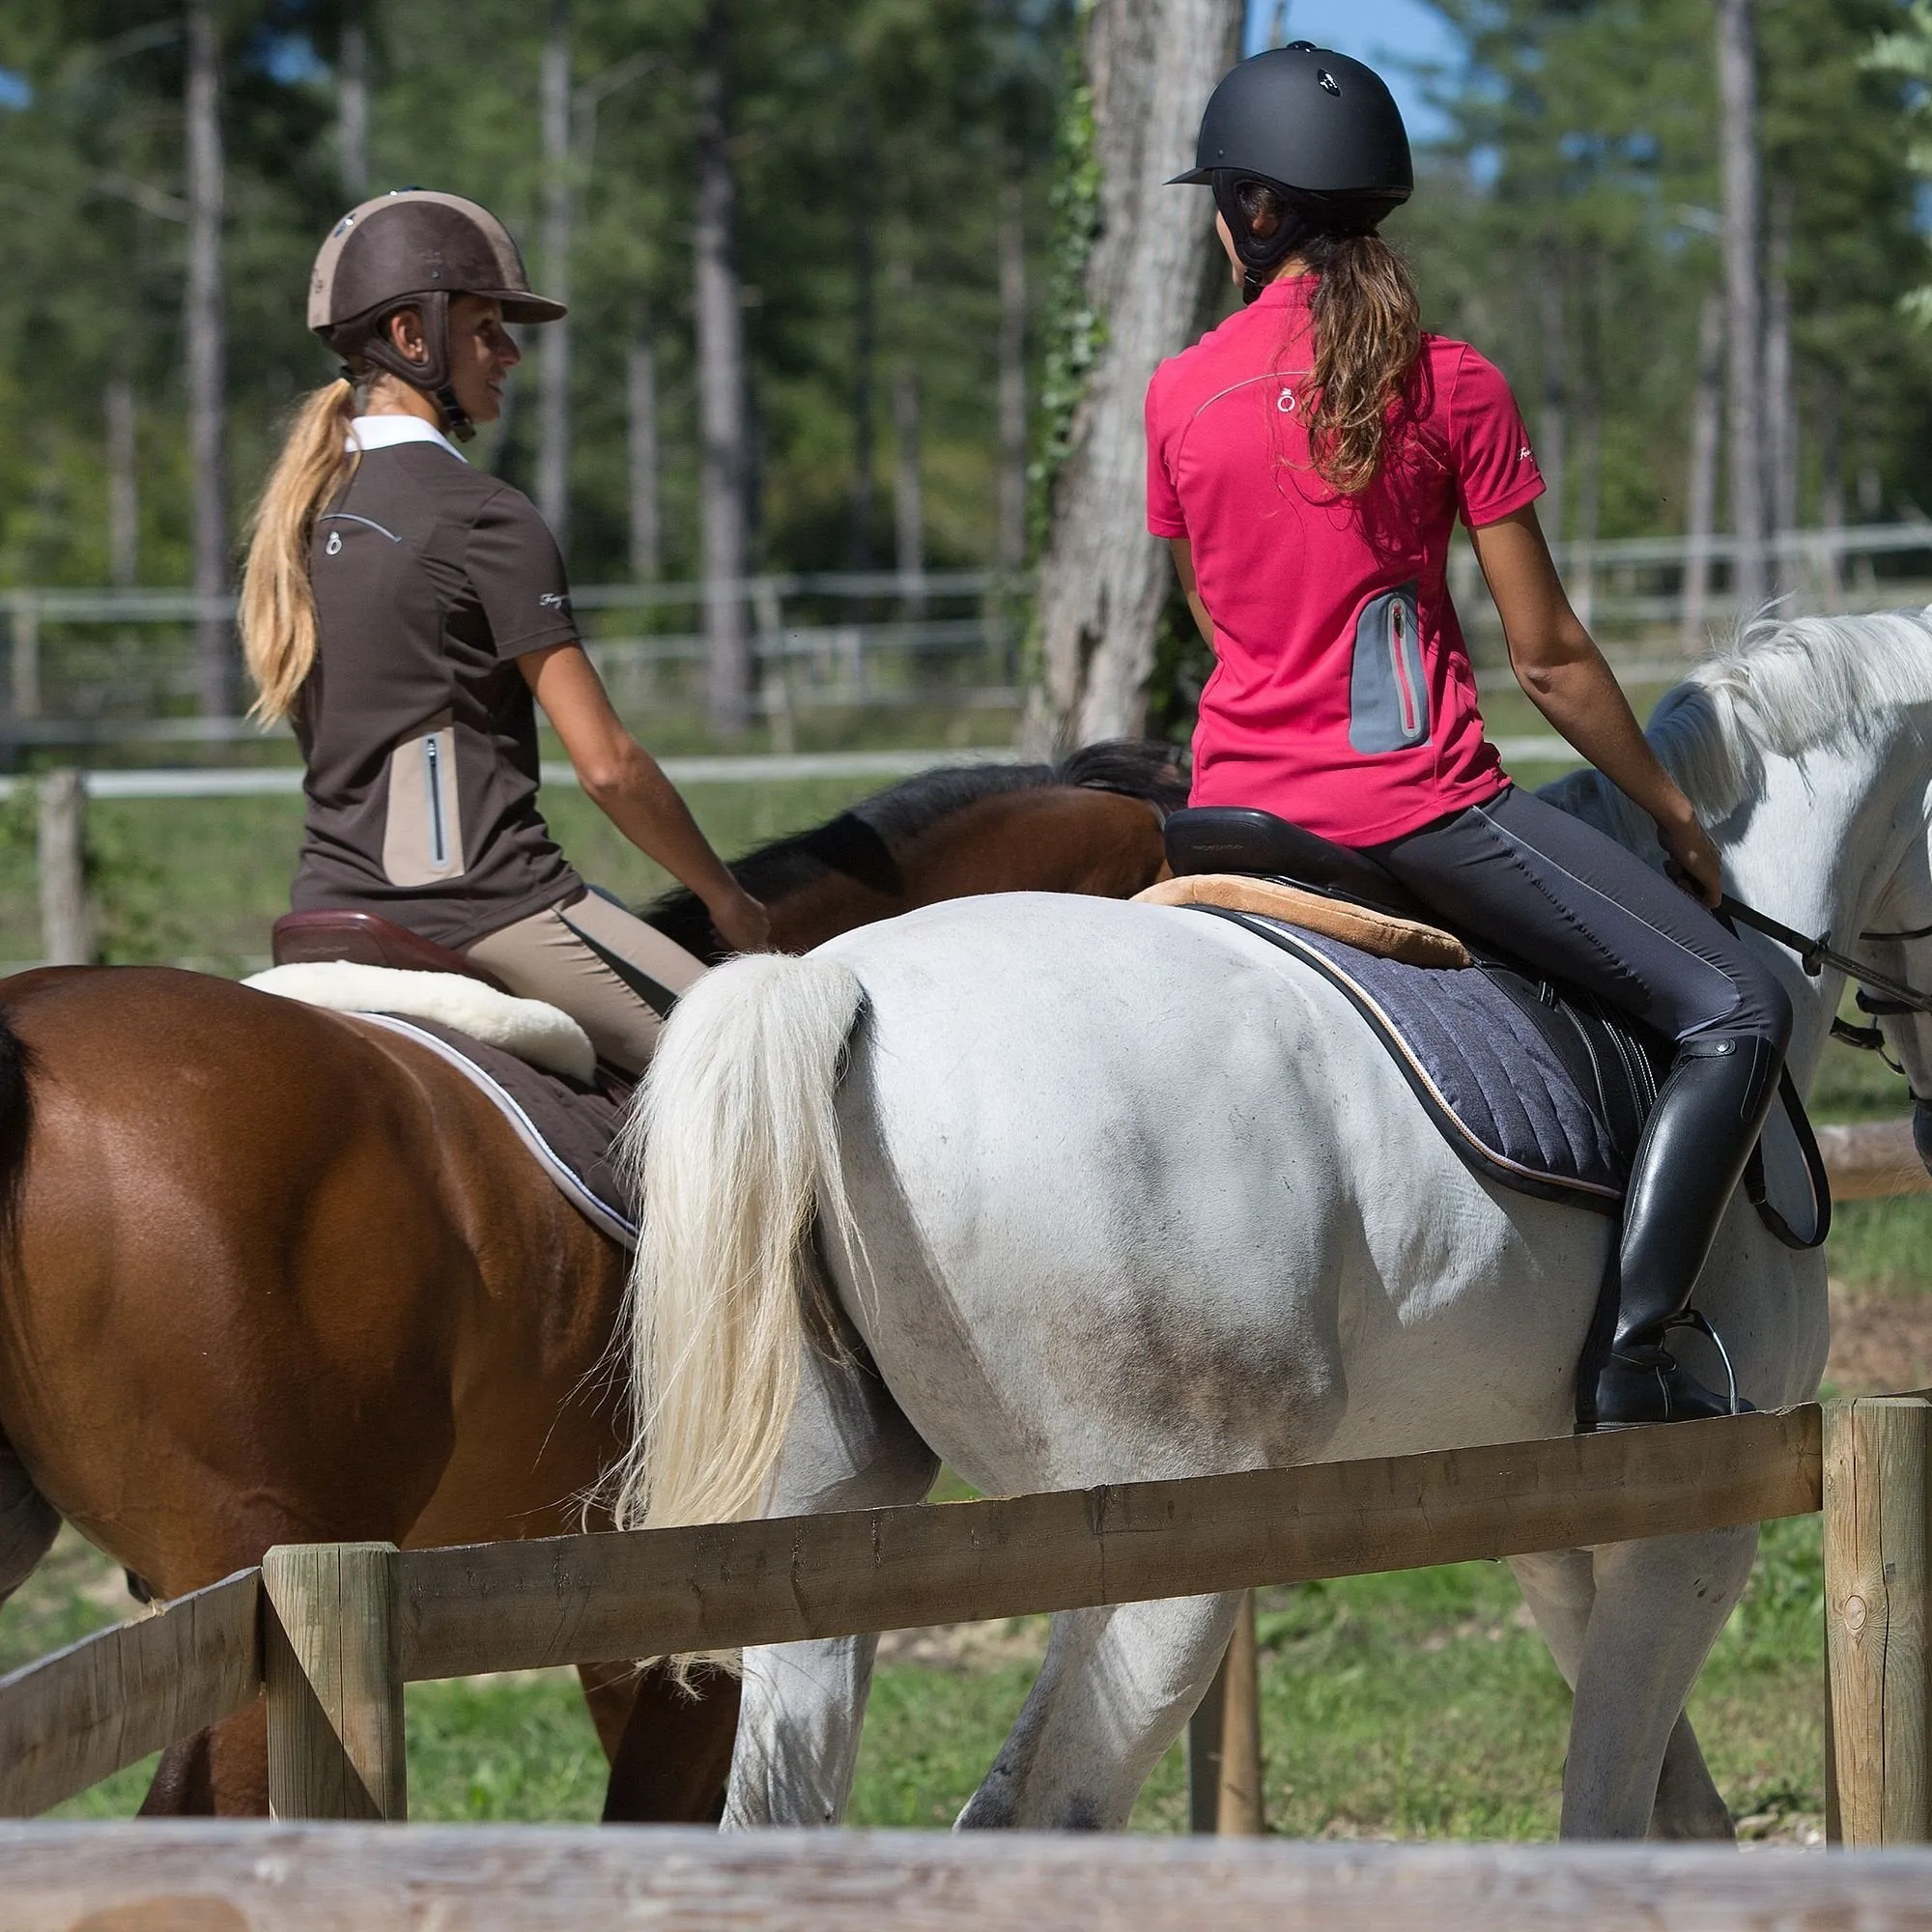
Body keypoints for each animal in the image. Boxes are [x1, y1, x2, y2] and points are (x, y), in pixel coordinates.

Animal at [614, 611, 1932, 1832]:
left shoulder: (1559, 1518)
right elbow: (1609, 1809)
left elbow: (1673, 1810)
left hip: (820, 1536)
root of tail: (839, 989)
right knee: (1041, 1811)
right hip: (1159, 1557)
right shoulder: (1693, 1525)